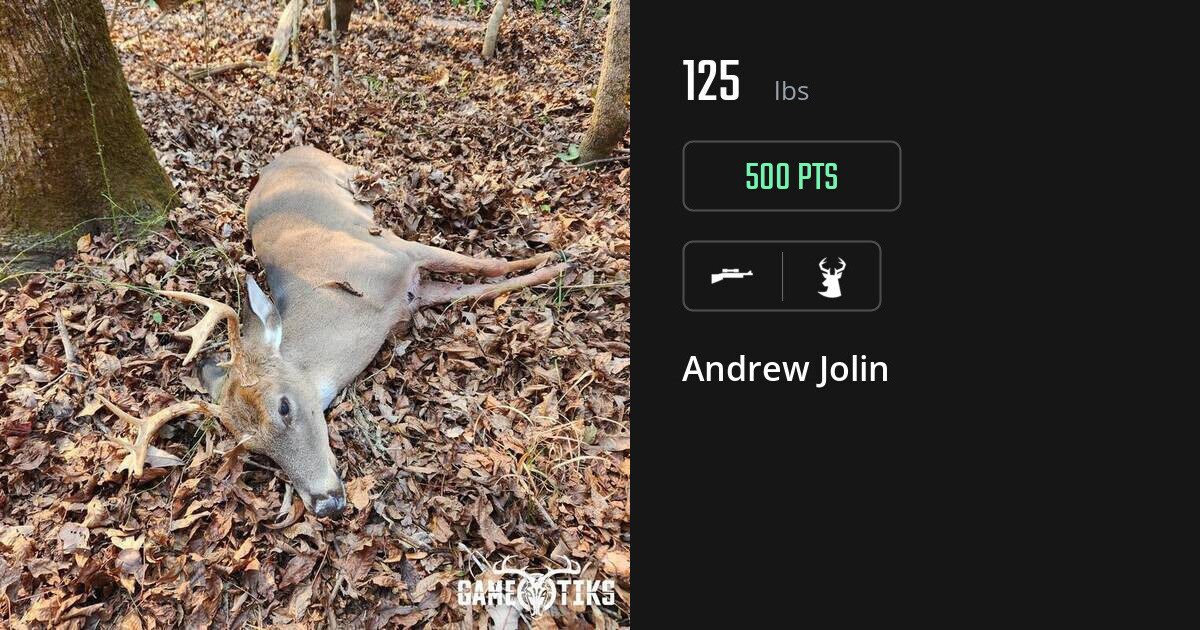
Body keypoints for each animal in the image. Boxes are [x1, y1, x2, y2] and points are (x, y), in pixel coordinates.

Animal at [95, 146, 573, 517]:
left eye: (284, 406)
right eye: (255, 448)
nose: (325, 503)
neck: (356, 306)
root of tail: (285, 153)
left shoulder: (397, 254)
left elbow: (487, 265)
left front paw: (560, 258)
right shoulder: (413, 294)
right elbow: (484, 286)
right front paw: (553, 265)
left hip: (348, 175)